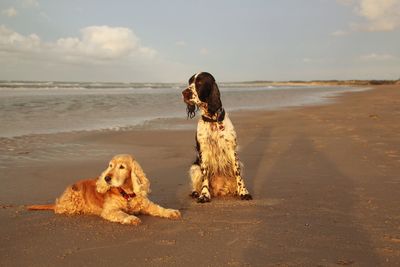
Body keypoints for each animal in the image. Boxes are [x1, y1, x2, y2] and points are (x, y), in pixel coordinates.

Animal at [26, 154, 180, 225]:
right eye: (110, 165)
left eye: (122, 167)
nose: (106, 178)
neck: (126, 194)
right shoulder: (110, 210)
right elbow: (122, 214)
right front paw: (131, 218)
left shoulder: (146, 204)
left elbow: (159, 208)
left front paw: (171, 211)